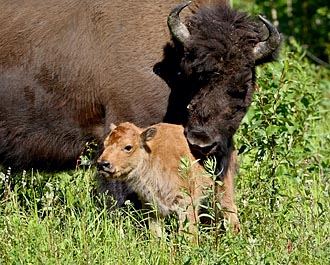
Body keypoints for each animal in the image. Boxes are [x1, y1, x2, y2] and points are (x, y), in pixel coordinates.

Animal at [96, 120, 238, 236]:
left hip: (223, 186)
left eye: (128, 147)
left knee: (228, 208)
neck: (151, 155)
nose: (103, 164)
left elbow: (188, 232)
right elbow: (156, 232)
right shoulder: (152, 207)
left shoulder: (186, 203)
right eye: (105, 144)